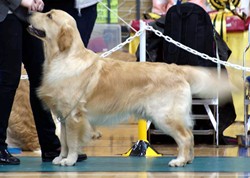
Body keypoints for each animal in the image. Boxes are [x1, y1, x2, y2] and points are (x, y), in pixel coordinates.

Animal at [26, 9, 233, 167]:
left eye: (49, 15)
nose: (29, 12)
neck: (61, 58)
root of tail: (176, 68)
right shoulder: (62, 116)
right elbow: (63, 141)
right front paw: (60, 157)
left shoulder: (73, 115)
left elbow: (71, 140)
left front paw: (69, 160)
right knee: (190, 135)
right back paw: (188, 159)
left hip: (164, 115)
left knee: (185, 137)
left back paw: (179, 161)